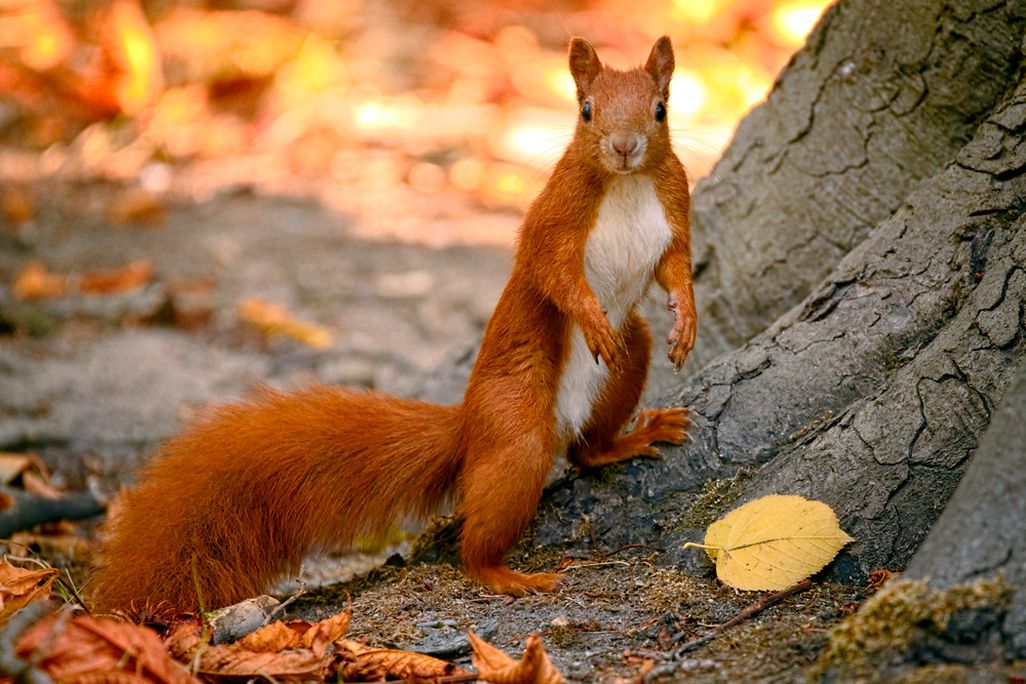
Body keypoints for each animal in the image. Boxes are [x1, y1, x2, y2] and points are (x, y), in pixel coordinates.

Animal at [88, 36, 697, 617]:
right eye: (586, 110)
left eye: (660, 109)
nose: (624, 147)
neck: (626, 185)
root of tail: (468, 425)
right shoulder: (553, 220)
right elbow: (554, 275)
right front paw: (592, 319)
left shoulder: (674, 207)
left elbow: (676, 268)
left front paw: (686, 320)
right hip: (516, 424)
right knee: (485, 526)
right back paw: (501, 572)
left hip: (626, 363)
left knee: (589, 445)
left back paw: (629, 438)